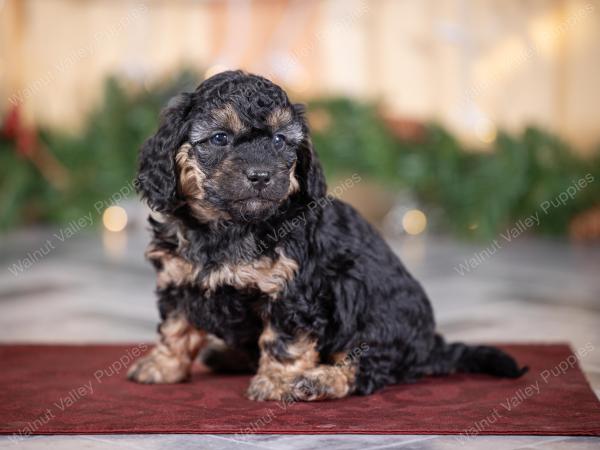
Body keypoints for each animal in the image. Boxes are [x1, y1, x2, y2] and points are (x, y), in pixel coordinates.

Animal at [127, 70, 524, 400]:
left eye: (279, 140)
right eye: (220, 138)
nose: (261, 176)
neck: (228, 228)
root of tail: (430, 347)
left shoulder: (293, 292)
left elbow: (284, 340)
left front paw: (277, 382)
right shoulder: (177, 279)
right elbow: (175, 328)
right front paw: (163, 367)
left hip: (370, 307)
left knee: (367, 369)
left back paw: (317, 381)